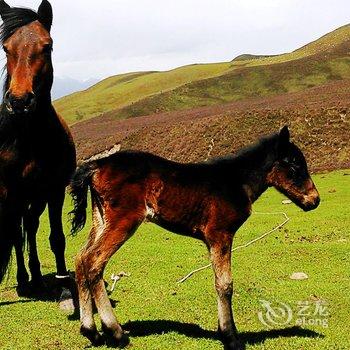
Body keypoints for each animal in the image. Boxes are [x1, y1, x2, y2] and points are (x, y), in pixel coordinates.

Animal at [0, 0, 76, 300]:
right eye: (6, 48)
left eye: (47, 46)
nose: (20, 101)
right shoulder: (10, 193)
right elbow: (13, 235)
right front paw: (23, 280)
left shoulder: (55, 191)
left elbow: (57, 238)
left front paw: (63, 280)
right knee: (19, 231)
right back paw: (26, 278)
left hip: (37, 198)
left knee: (31, 227)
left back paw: (36, 277)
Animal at [70, 126, 320, 350]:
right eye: (295, 163)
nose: (315, 200)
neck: (236, 181)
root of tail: (97, 164)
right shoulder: (220, 234)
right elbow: (225, 284)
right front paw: (230, 337)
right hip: (123, 221)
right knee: (93, 261)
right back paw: (116, 333)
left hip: (100, 219)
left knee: (80, 258)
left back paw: (91, 332)